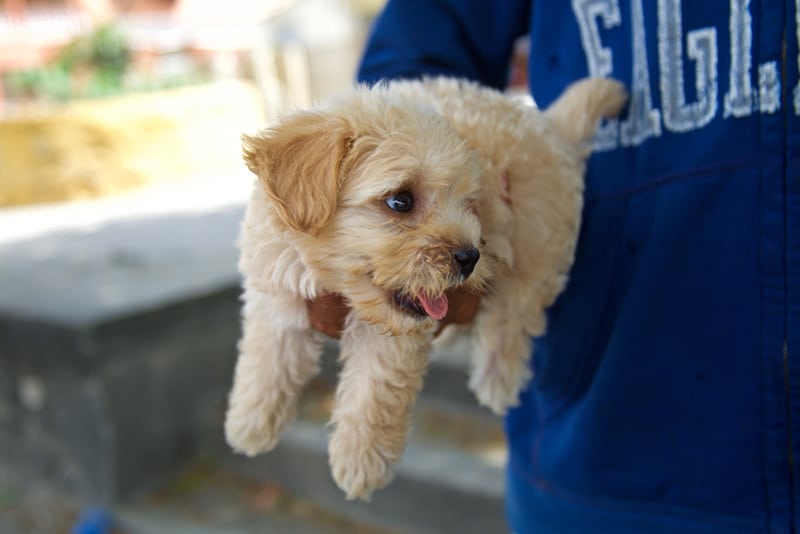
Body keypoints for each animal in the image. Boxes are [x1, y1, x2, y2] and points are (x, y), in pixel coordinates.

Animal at [223, 76, 624, 502]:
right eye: (401, 200)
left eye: (469, 202)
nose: (469, 257)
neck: (327, 277)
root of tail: (549, 125)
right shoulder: (276, 290)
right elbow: (266, 355)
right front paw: (250, 421)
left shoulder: (392, 335)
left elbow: (373, 390)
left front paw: (361, 459)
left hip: (537, 240)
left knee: (514, 314)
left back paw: (497, 377)